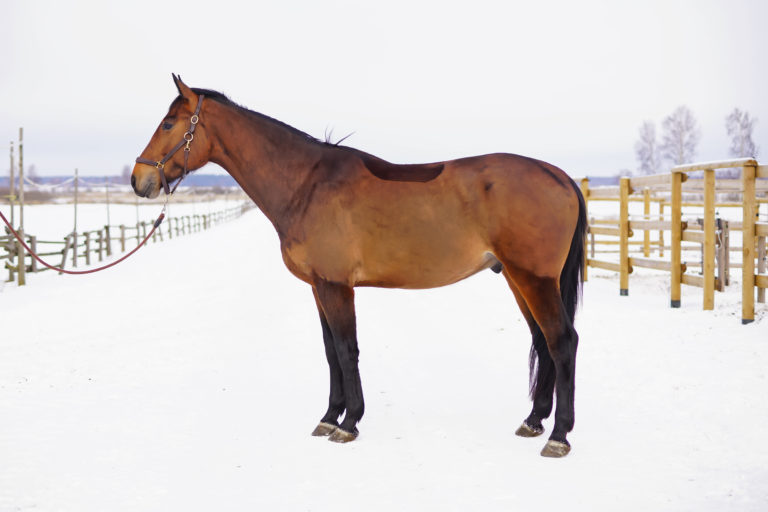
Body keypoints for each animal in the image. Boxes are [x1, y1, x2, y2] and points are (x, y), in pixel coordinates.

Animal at [132, 74, 587, 458]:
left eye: (169, 124)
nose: (139, 181)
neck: (307, 184)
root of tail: (559, 176)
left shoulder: (336, 286)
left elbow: (347, 349)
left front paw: (348, 424)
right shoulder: (319, 286)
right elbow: (331, 351)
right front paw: (328, 417)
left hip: (534, 279)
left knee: (562, 341)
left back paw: (559, 436)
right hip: (518, 279)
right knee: (543, 341)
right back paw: (533, 421)